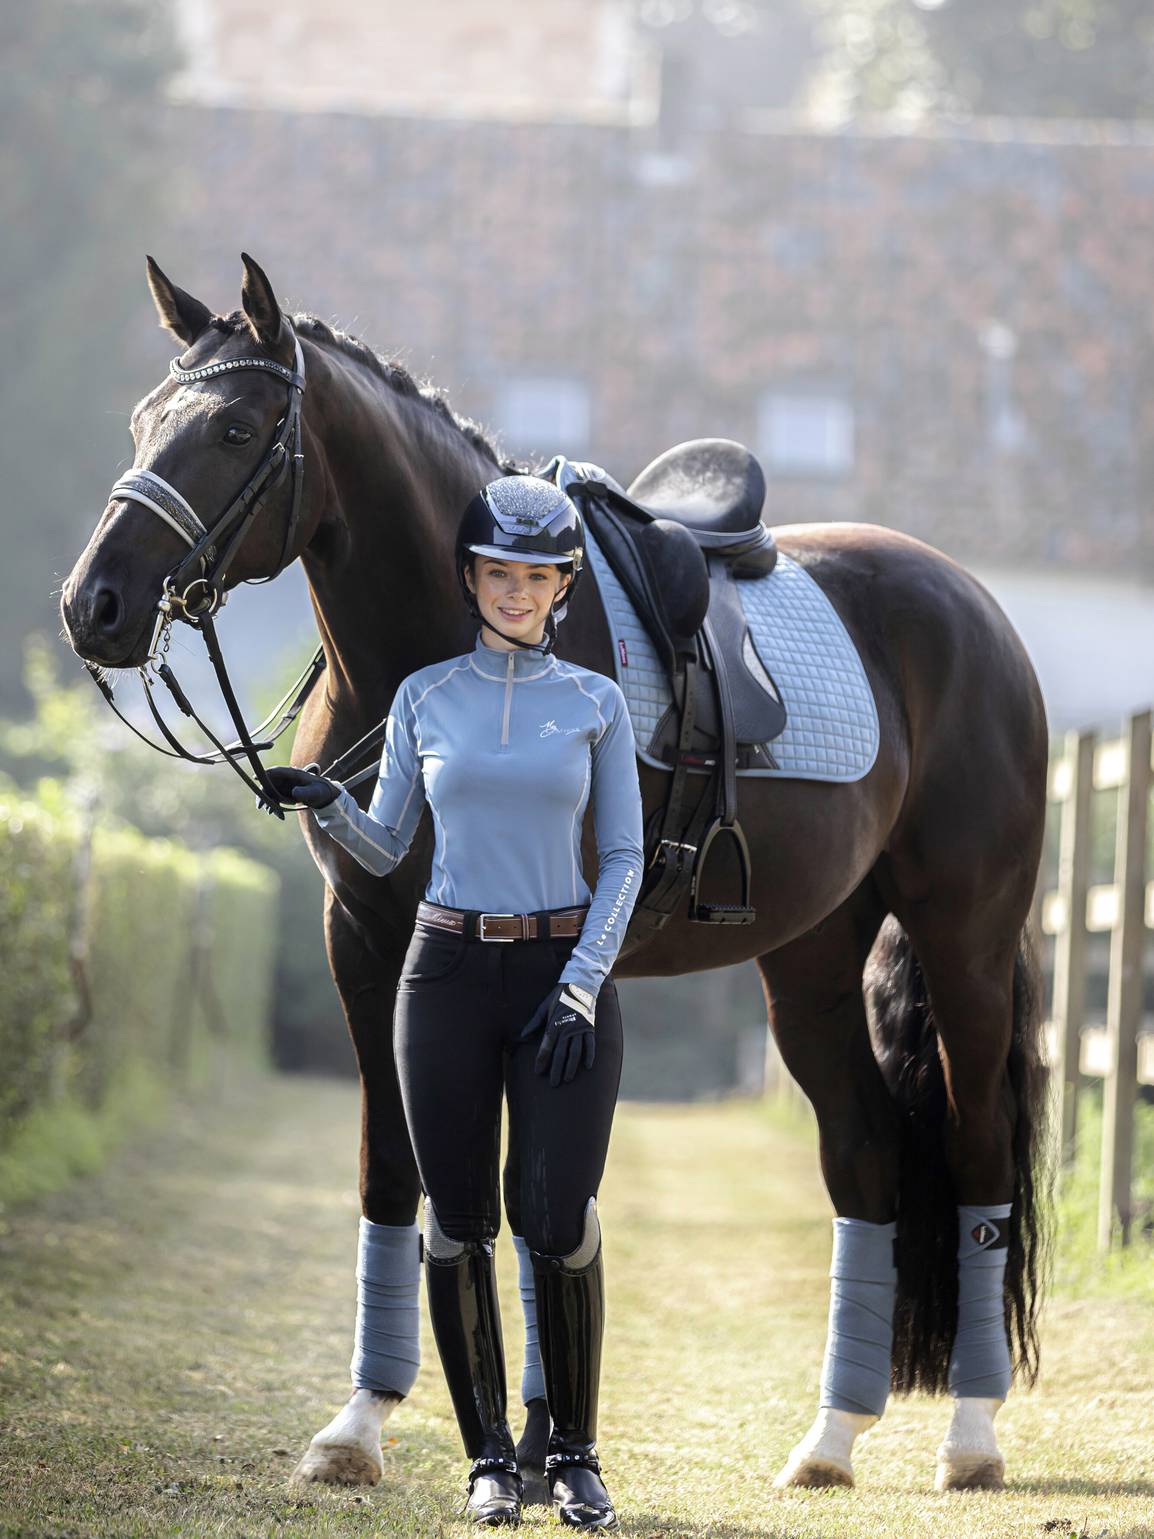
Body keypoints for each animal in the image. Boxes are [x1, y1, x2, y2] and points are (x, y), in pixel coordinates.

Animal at [60, 254, 1050, 1496]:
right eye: (145, 421)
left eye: (235, 428)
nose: (93, 605)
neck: (459, 649)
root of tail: (974, 611)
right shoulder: (367, 945)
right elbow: (401, 1177)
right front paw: (365, 1430)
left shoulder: (567, 961)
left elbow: (537, 1194)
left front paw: (535, 1449)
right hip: (811, 964)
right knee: (864, 1158)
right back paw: (827, 1440)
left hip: (962, 941)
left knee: (975, 1151)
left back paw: (969, 1438)